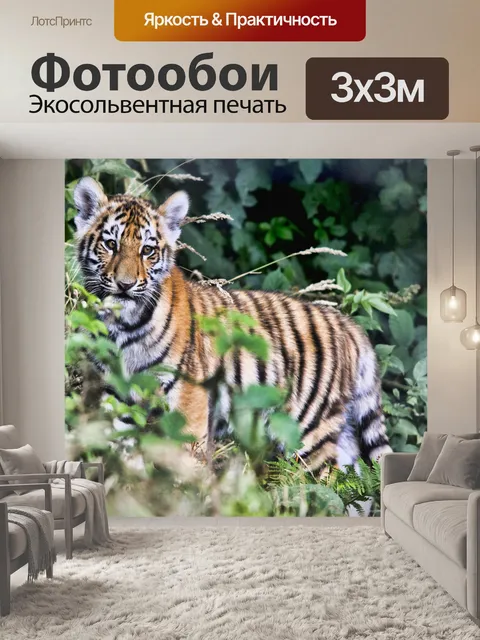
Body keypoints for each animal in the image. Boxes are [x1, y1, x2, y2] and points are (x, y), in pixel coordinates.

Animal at [73, 176, 391, 474]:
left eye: (147, 250)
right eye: (111, 244)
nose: (125, 285)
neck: (122, 323)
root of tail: (349, 325)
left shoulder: (188, 392)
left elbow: (185, 452)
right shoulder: (115, 390)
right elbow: (114, 446)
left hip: (308, 429)